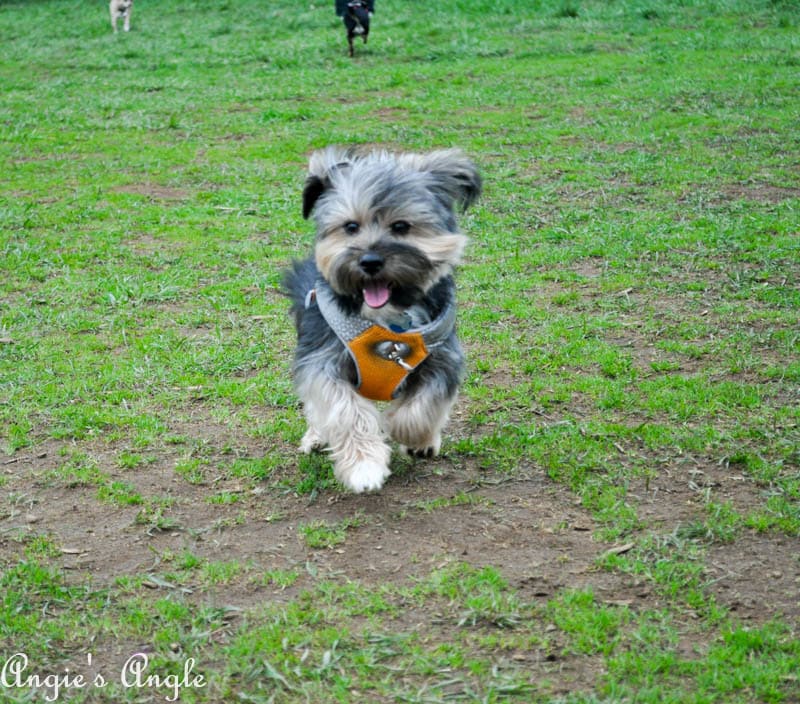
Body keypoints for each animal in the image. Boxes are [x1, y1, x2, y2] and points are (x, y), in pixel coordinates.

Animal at [282, 146, 482, 492]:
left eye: (401, 226)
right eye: (351, 226)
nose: (370, 261)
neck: (389, 324)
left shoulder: (443, 358)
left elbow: (423, 406)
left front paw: (412, 436)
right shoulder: (322, 362)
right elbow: (346, 412)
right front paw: (364, 466)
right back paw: (316, 437)